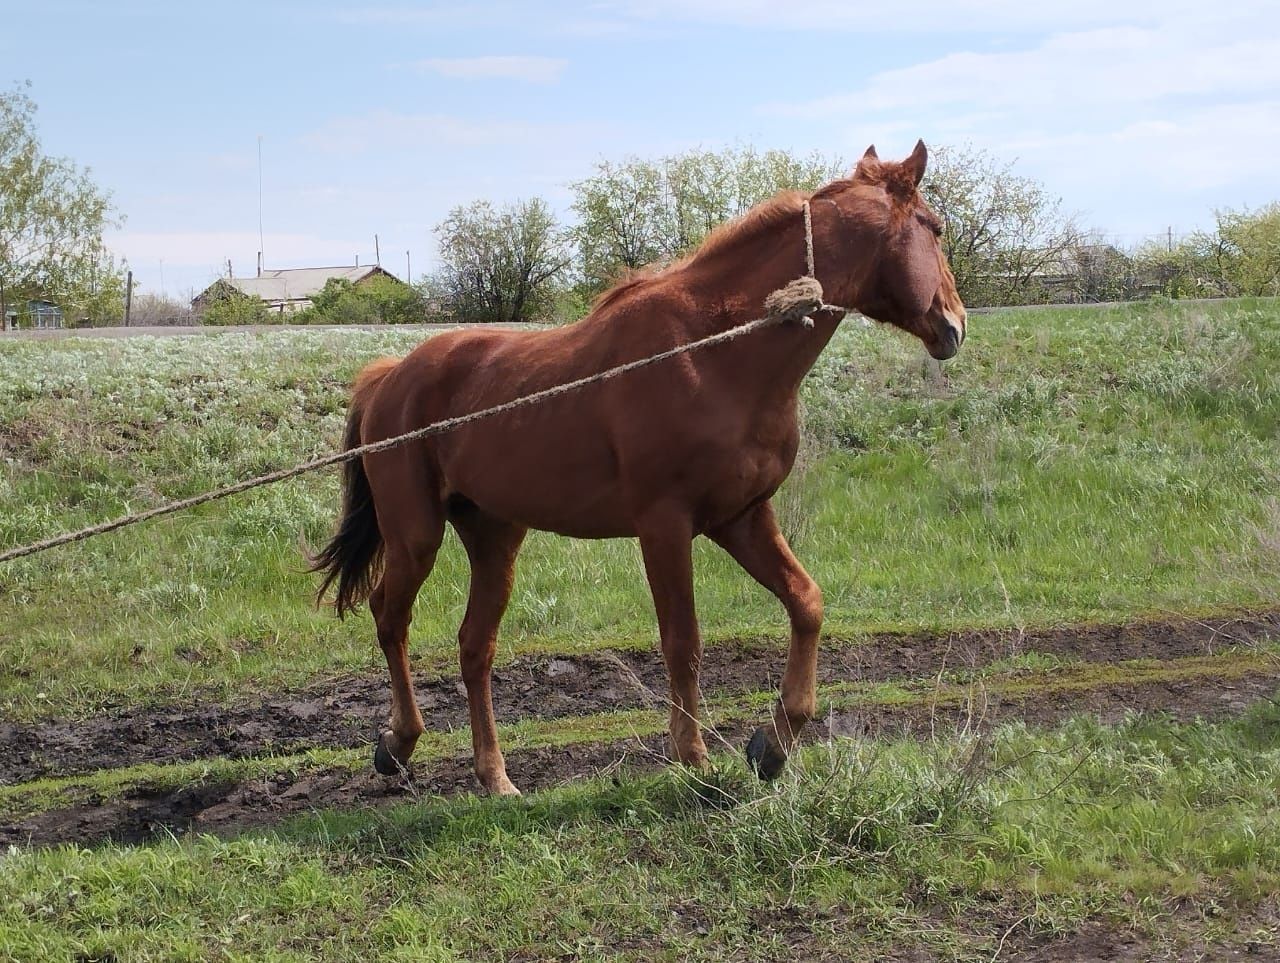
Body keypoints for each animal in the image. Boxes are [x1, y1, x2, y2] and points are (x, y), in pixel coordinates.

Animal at [314, 138, 962, 793]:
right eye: (934, 227)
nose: (954, 324)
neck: (718, 351)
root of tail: (391, 375)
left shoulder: (743, 517)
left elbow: (807, 602)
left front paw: (773, 745)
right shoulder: (665, 525)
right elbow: (683, 640)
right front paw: (694, 757)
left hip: (495, 537)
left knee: (475, 647)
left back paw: (495, 777)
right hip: (416, 537)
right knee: (390, 619)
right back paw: (399, 742)